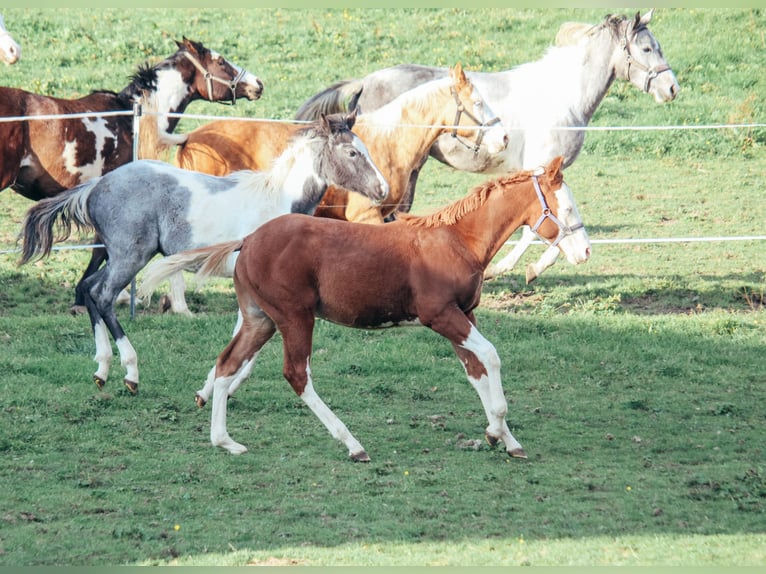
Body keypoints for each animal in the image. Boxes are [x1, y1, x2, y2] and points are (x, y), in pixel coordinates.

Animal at [18, 111, 389, 396]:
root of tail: (98, 185)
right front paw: (211, 389)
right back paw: (130, 373)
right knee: (103, 295)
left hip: (115, 255)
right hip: (130, 257)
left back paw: (102, 370)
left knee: (88, 288)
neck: (276, 202)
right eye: (352, 152)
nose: (382, 189)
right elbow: (245, 339)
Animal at [144, 156, 591, 460]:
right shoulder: (441, 316)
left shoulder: (465, 315)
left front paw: (504, 438)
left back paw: (225, 440)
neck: (455, 240)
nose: (585, 251)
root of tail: (249, 240)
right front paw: (498, 426)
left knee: (227, 365)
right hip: (294, 317)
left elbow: (476, 372)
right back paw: (352, 443)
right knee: (296, 374)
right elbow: (491, 358)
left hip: (260, 319)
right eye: (567, 208)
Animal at [145, 63, 507, 315]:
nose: (503, 137)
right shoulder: (366, 216)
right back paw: (179, 306)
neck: (389, 141)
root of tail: (190, 137)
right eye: (478, 102)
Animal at [294, 10, 679, 283]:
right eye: (647, 48)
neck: (561, 97)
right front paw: (515, 269)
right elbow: (537, 230)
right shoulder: (541, 168)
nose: (672, 88)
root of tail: (365, 80)